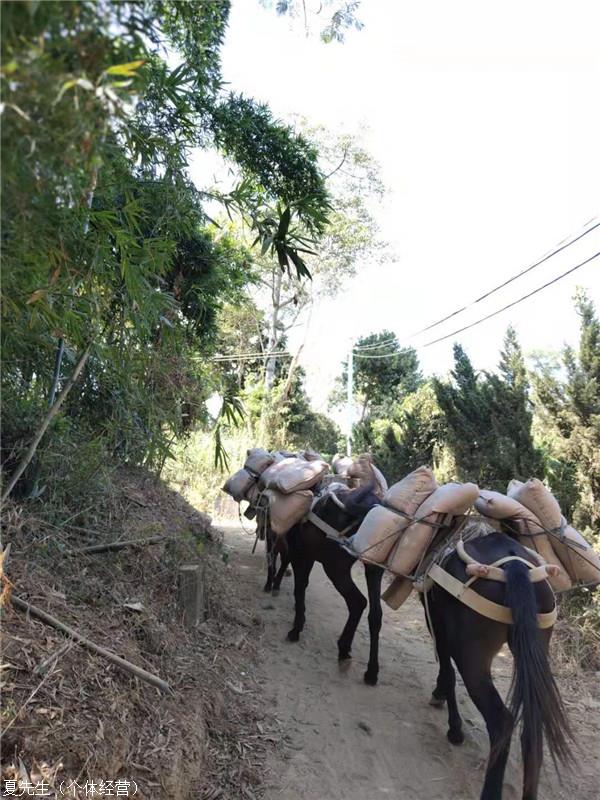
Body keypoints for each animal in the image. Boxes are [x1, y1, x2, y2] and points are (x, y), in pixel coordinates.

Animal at [282, 484, 384, 684]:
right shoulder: (306, 554)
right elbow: (301, 584)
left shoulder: (300, 552)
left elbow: (300, 586)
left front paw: (296, 629)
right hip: (374, 569)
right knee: (375, 615)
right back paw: (371, 672)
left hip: (335, 567)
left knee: (357, 602)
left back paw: (344, 650)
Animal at [424, 524, 576, 800]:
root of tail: (514, 565)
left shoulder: (439, 628)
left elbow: (447, 671)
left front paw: (454, 729)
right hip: (537, 643)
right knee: (532, 730)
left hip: (471, 657)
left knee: (501, 723)